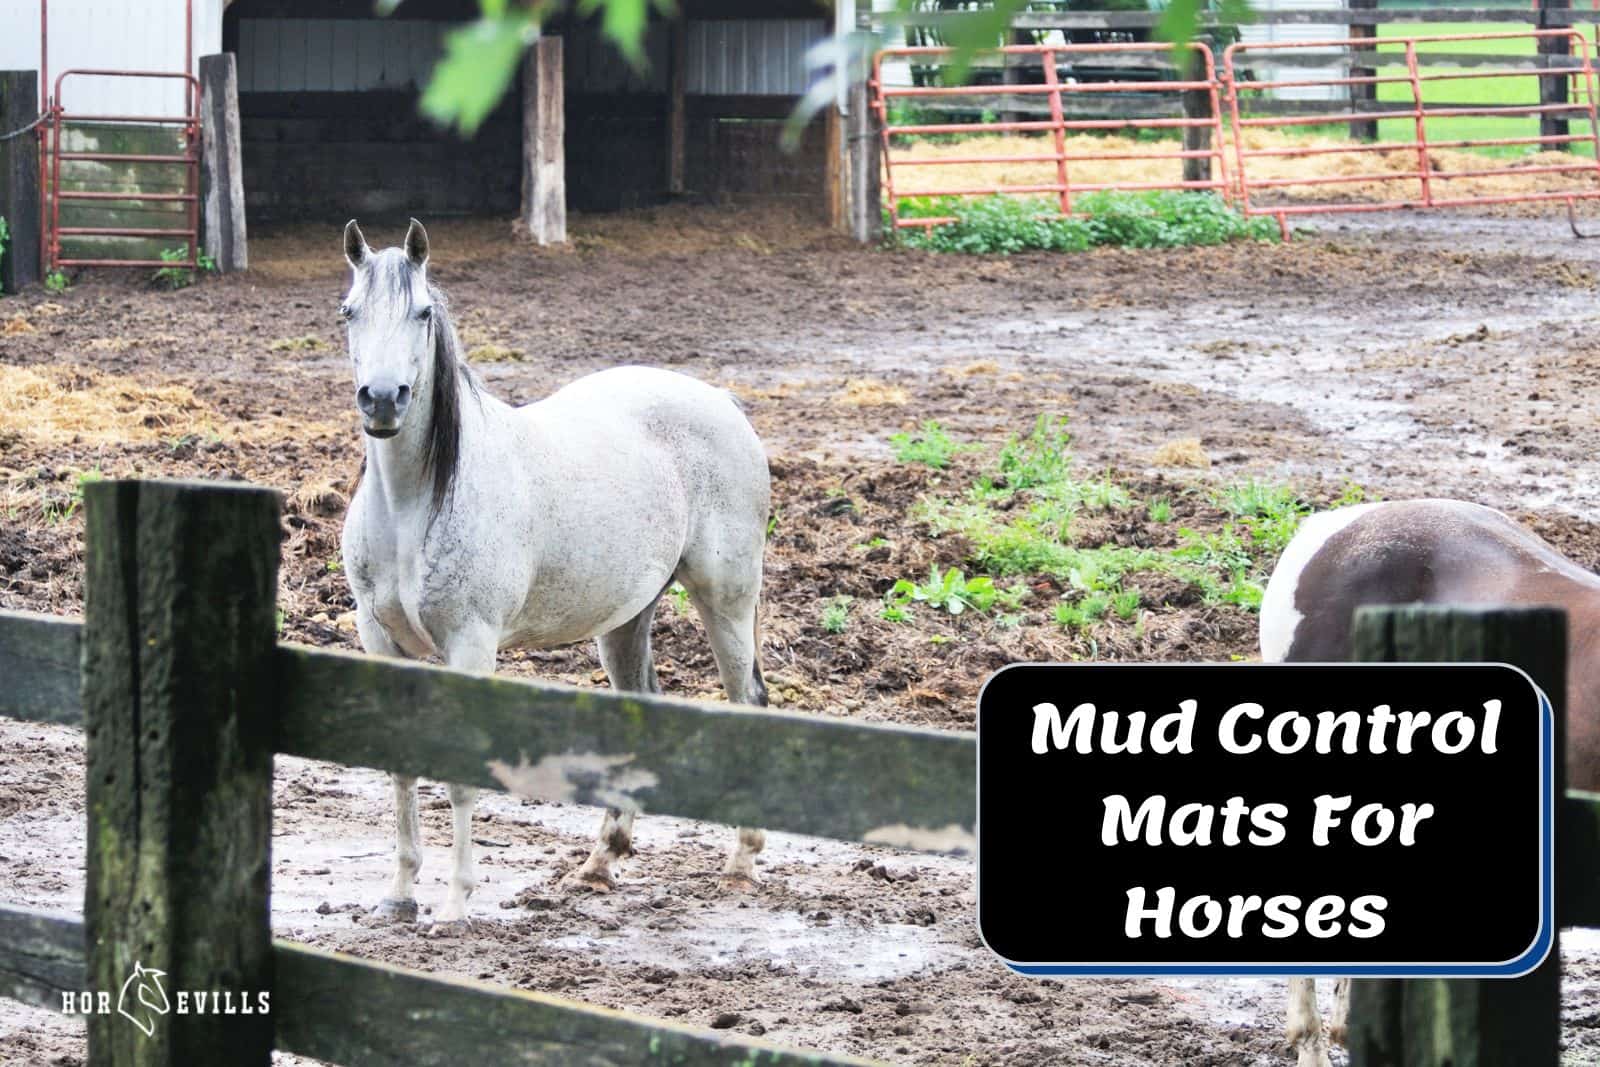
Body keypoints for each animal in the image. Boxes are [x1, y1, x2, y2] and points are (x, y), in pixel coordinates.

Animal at [337, 218, 773, 929]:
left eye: (422, 313)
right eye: (349, 312)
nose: (381, 399)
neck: (416, 502)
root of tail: (720, 401)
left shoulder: (470, 646)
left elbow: (460, 773)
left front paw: (455, 904)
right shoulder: (381, 644)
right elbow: (401, 767)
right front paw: (398, 896)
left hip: (727, 602)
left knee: (749, 703)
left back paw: (741, 860)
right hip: (626, 621)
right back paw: (599, 863)